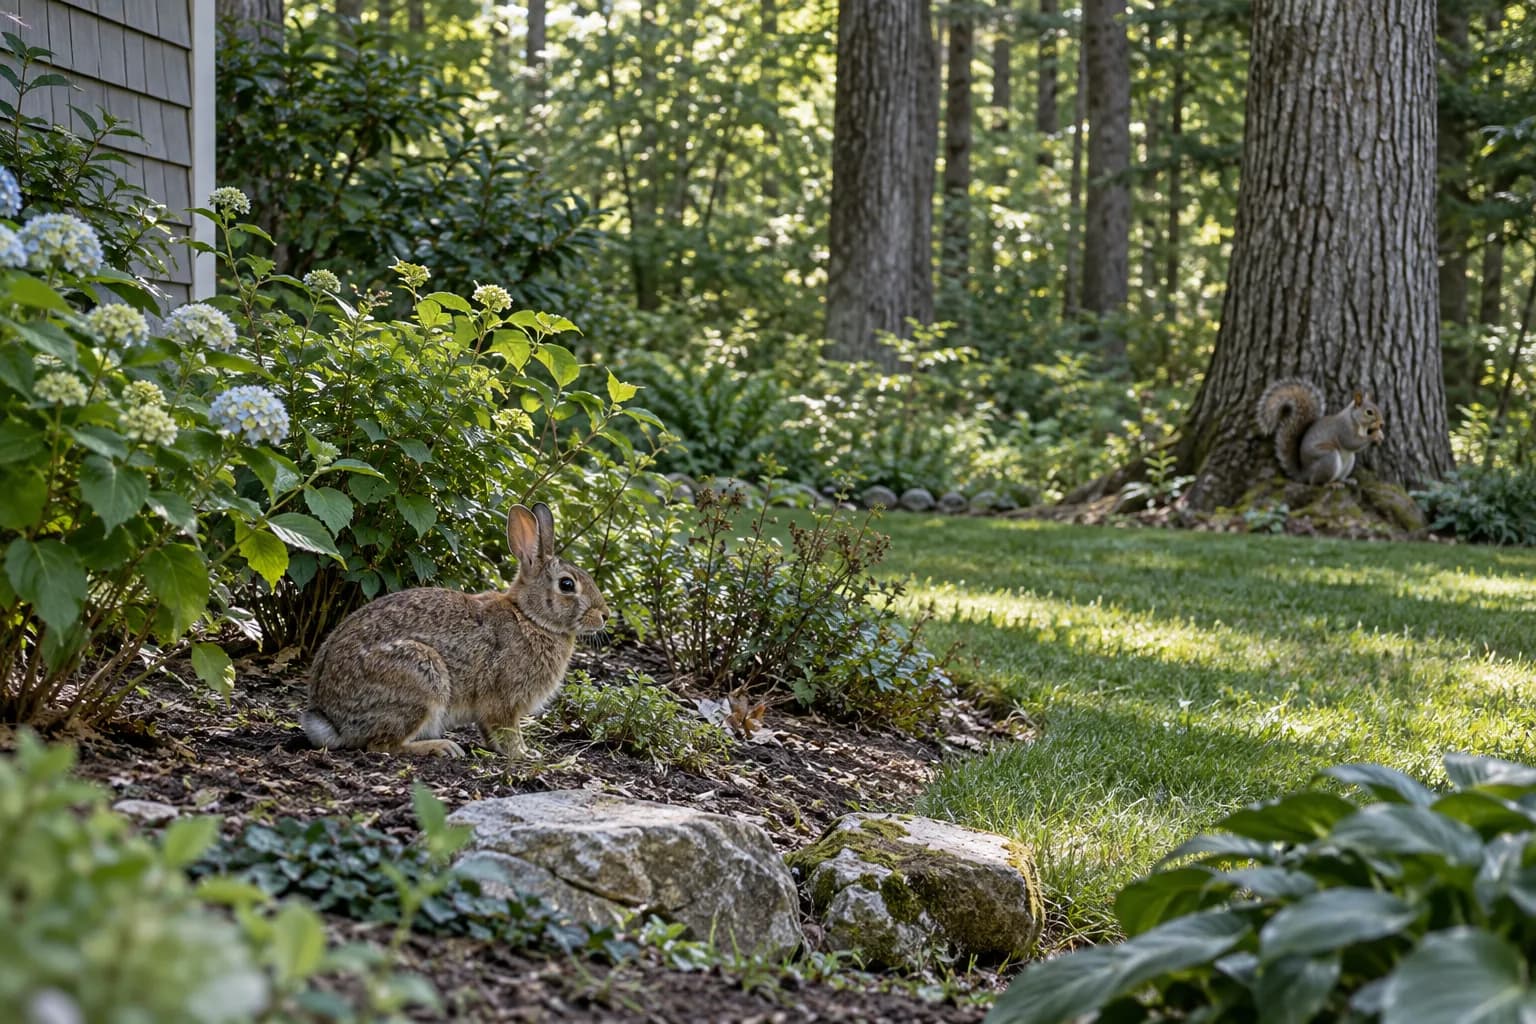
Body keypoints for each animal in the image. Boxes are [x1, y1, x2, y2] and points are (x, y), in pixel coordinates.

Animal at [300, 502, 609, 758]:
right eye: (567, 585)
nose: (605, 615)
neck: (530, 617)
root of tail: (331, 720)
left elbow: (491, 733)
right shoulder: (503, 700)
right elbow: (508, 731)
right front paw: (524, 754)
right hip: (420, 678)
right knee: (381, 745)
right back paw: (441, 747)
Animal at [1255, 379, 1384, 486]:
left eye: (1378, 407)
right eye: (1369, 412)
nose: (1382, 423)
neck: (1358, 422)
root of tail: (1305, 473)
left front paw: (1380, 435)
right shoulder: (1343, 429)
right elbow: (1351, 443)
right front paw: (1373, 435)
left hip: (1349, 461)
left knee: (1338, 476)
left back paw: (1346, 480)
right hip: (1328, 458)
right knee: (1316, 482)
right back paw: (1331, 484)